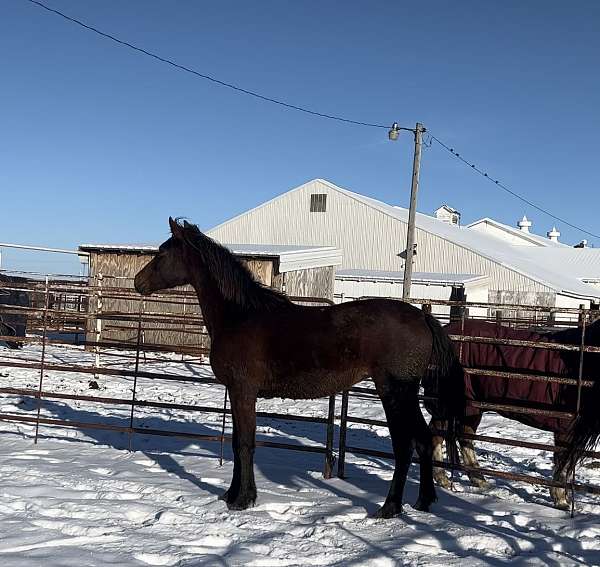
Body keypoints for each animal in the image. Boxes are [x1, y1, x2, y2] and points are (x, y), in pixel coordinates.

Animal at [135, 219, 464, 520]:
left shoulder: (243, 392)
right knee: (424, 440)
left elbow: (244, 444)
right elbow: (237, 442)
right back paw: (423, 502)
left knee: (404, 446)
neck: (239, 315)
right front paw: (231, 494)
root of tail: (422, 317)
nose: (138, 282)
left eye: (162, 253)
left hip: (395, 392)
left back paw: (390, 508)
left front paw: (243, 500)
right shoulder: (238, 392)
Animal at [428, 320, 596, 510]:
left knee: (464, 437)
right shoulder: (567, 427)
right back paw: (442, 478)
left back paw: (480, 481)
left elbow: (567, 465)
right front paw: (561, 500)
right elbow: (563, 464)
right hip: (446, 404)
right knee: (437, 434)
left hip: (471, 408)